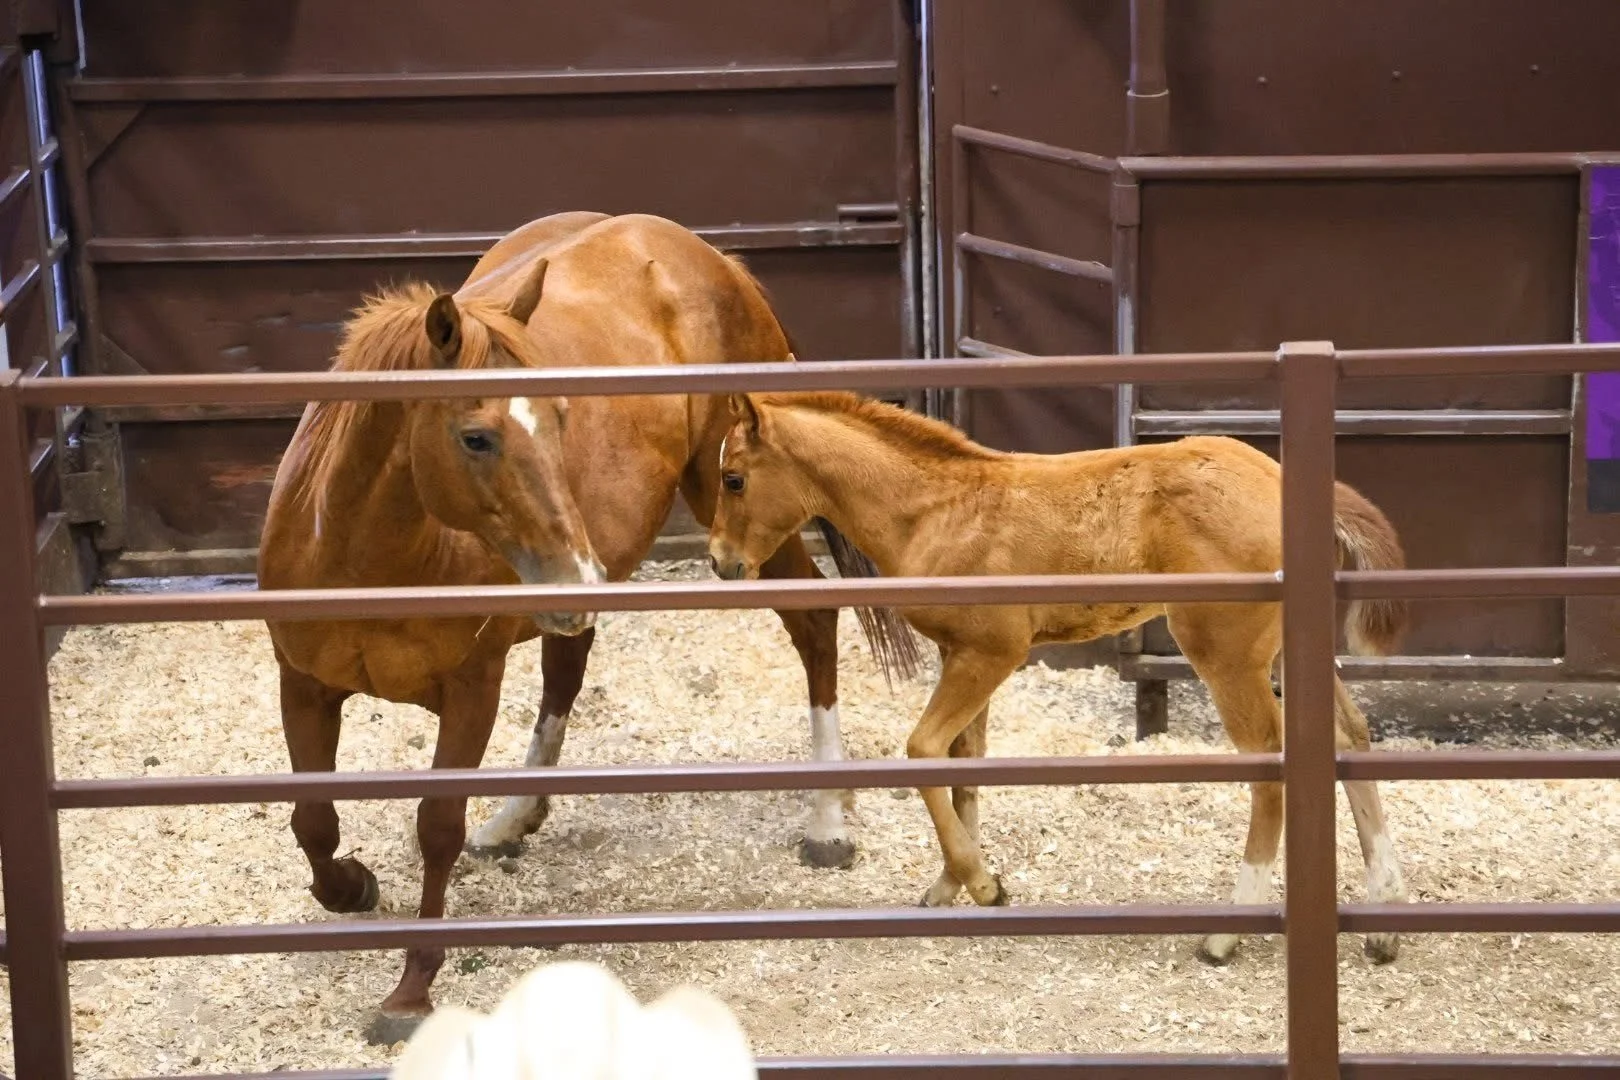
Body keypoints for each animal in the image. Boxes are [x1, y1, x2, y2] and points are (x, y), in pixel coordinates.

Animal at [257, 212, 918, 1036]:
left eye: (562, 416)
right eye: (476, 436)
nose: (575, 571)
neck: (366, 553)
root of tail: (709, 258)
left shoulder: (471, 689)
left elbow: (436, 825)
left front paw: (411, 991)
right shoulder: (304, 685)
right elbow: (312, 821)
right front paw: (350, 887)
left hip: (734, 505)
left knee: (813, 617)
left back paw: (828, 817)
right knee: (569, 666)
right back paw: (514, 818)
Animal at [705, 390, 1413, 966]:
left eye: (733, 478)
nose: (719, 562)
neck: (933, 512)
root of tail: (1284, 482)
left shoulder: (992, 651)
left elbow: (924, 749)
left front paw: (983, 884)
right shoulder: (961, 654)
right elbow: (964, 764)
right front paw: (951, 884)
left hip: (1227, 654)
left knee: (1271, 763)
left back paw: (1226, 933)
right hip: (1288, 652)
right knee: (1350, 737)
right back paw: (1384, 921)